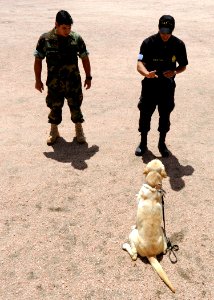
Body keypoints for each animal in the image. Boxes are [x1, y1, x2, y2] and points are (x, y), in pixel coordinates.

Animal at [123, 159, 175, 292]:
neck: (153, 186)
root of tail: (151, 254)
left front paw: (133, 225)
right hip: (163, 232)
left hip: (132, 236)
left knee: (134, 255)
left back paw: (125, 245)